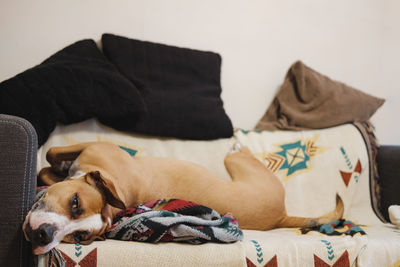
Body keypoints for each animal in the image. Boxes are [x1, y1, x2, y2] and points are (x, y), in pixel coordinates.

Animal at [22, 142, 344, 255]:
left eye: (80, 237)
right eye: (74, 203)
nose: (43, 235)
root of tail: (282, 215)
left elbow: (50, 155)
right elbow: (51, 166)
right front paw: (53, 173)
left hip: (237, 163)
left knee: (237, 153)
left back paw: (239, 142)